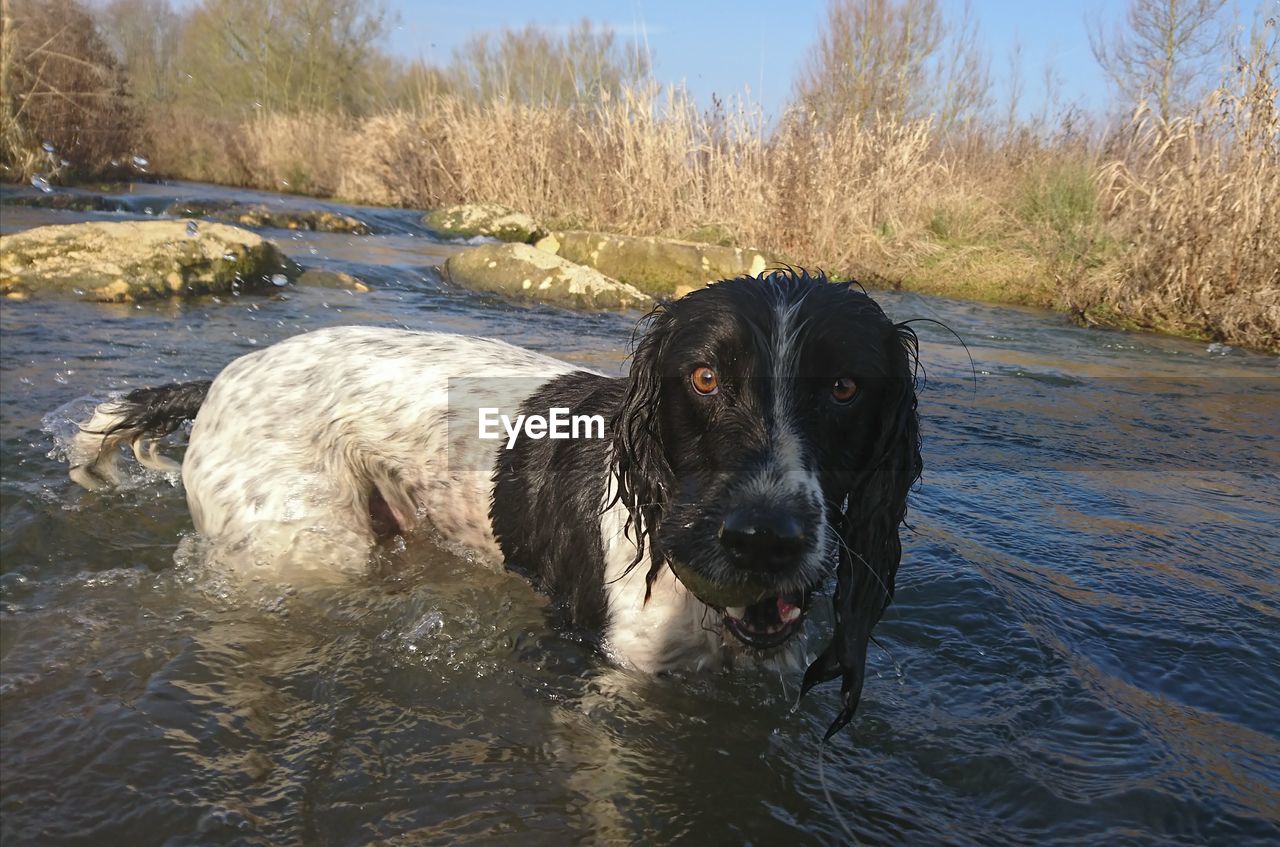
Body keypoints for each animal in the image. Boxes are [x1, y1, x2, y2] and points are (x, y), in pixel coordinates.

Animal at [64, 269, 921, 736]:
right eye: (704, 378)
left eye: (846, 386)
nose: (764, 538)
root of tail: (219, 378)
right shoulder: (611, 669)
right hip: (309, 549)